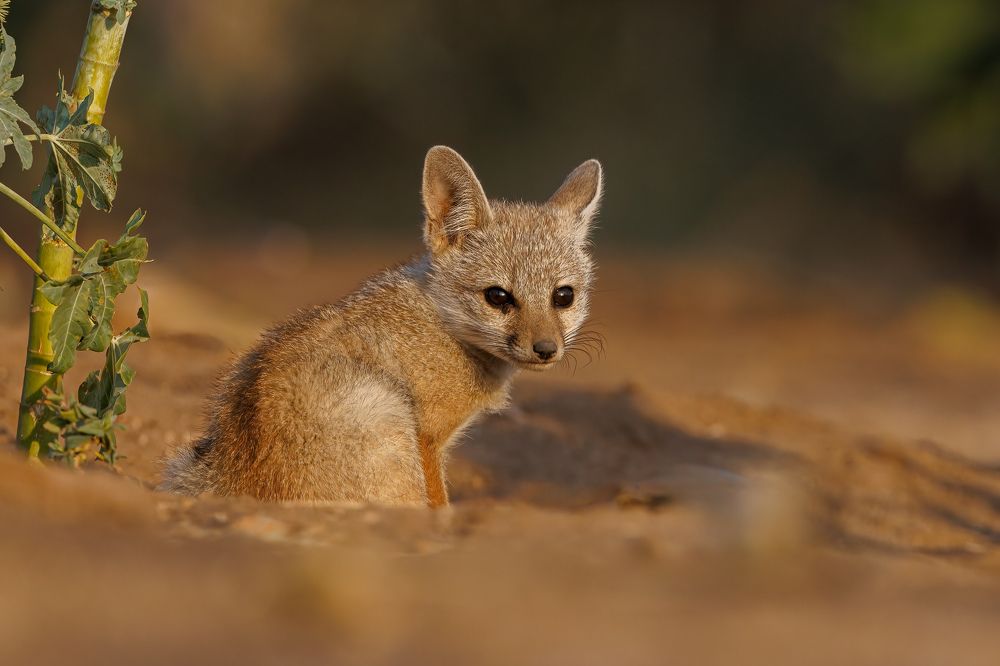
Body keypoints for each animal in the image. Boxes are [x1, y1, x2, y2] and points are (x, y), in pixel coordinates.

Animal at [161, 146, 603, 507]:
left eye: (563, 296)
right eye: (497, 296)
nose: (546, 349)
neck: (441, 324)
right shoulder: (427, 439)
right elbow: (438, 505)